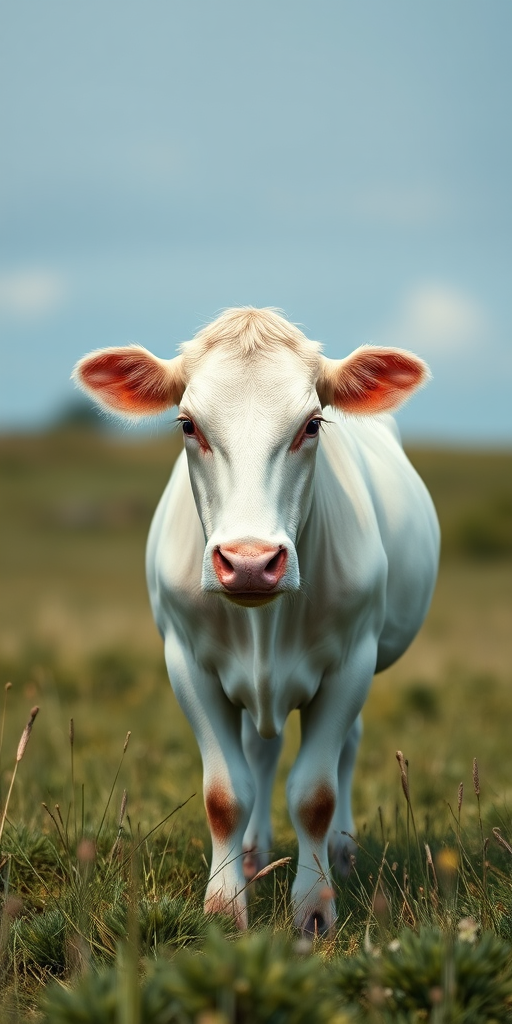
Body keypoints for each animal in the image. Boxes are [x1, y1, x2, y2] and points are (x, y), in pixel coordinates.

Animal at [74, 307, 439, 935]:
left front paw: (314, 909)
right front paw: (224, 906)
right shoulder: (187, 662)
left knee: (346, 748)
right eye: (188, 424)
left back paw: (341, 851)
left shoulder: (352, 660)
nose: (249, 561)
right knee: (260, 751)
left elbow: (314, 794)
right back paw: (252, 853)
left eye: (313, 424)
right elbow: (226, 794)